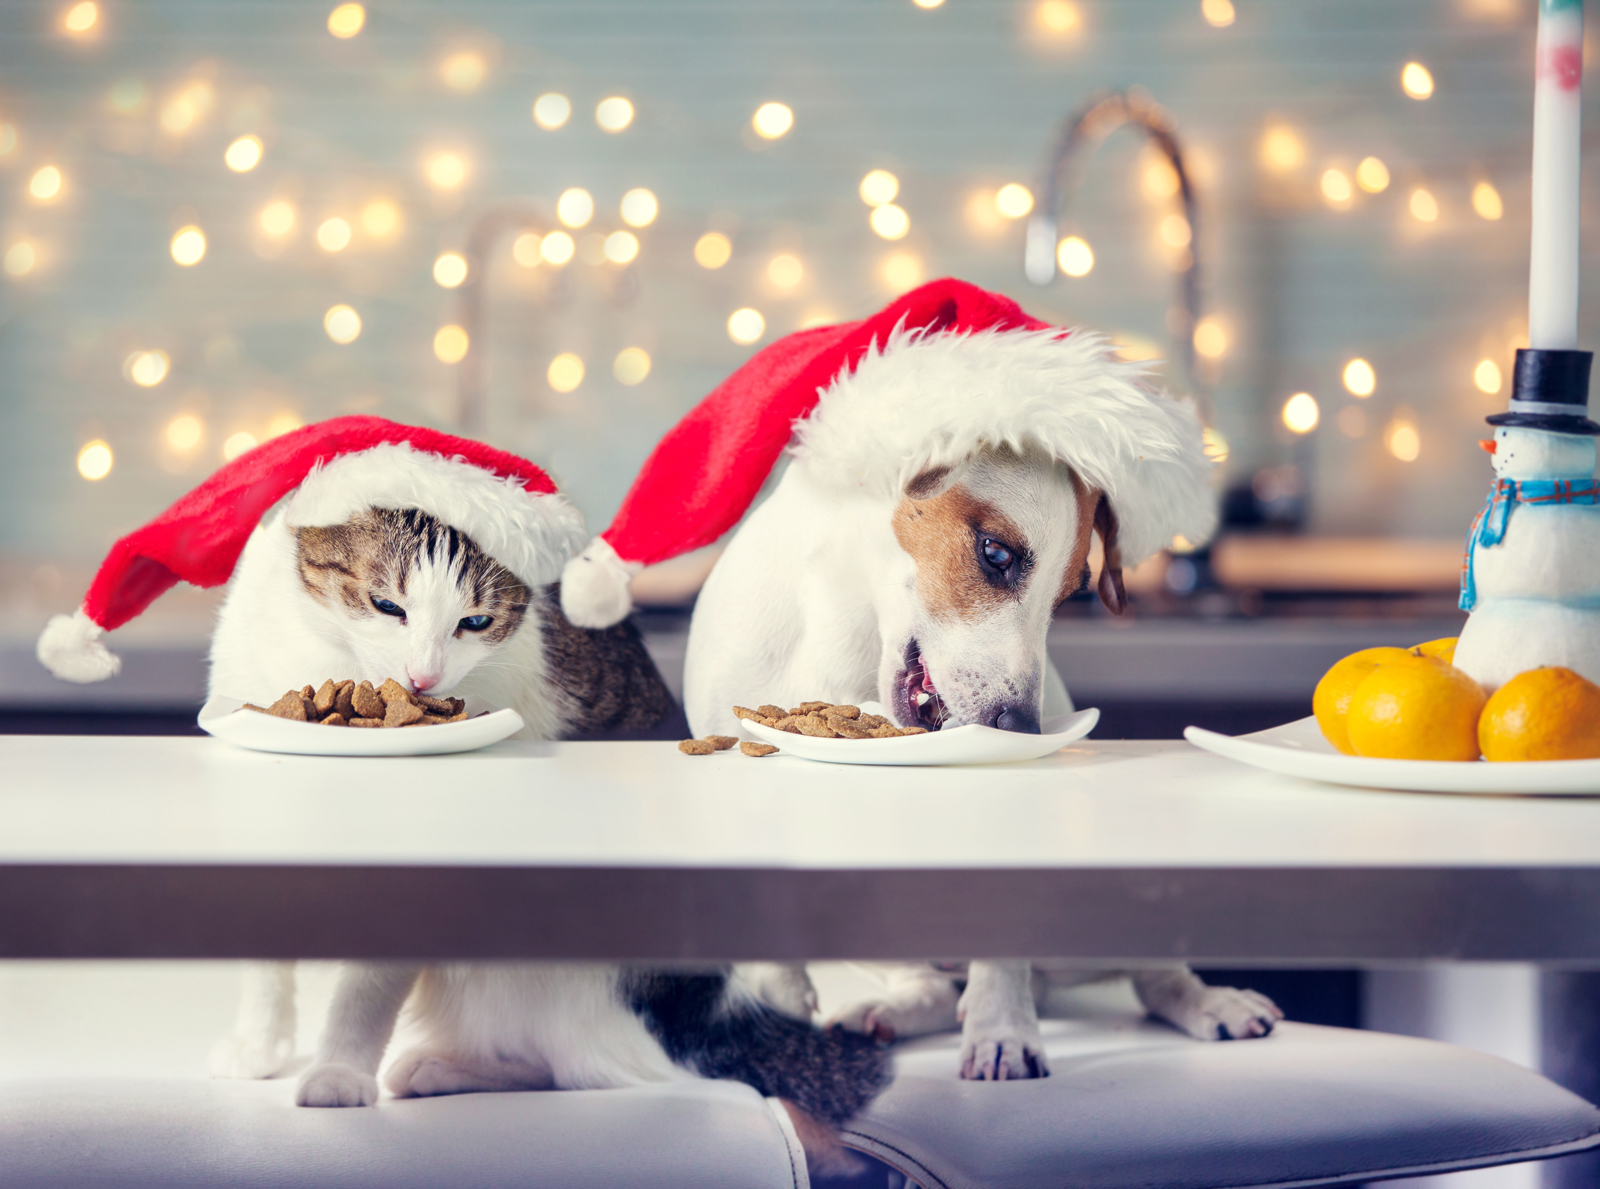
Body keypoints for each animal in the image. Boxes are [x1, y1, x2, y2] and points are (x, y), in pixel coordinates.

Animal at [211, 505, 675, 1081]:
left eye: (475, 622)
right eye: (386, 605)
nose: (423, 679)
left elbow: (369, 984)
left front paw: (339, 1073)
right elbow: (264, 957)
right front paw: (259, 1044)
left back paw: (439, 1071)